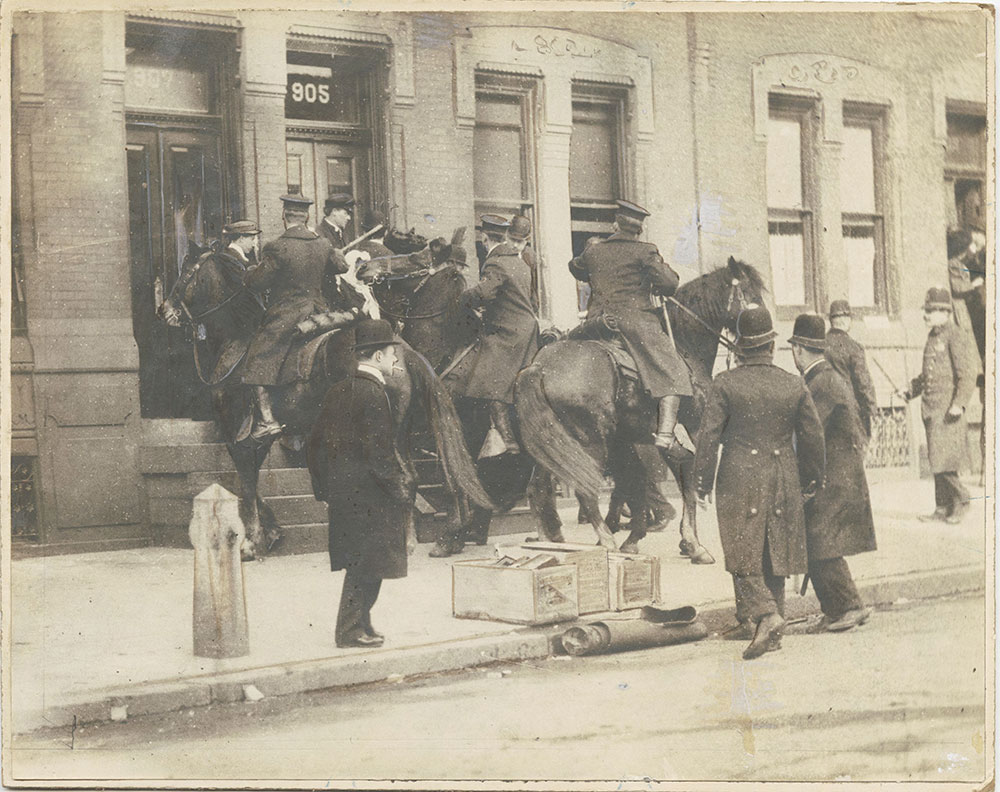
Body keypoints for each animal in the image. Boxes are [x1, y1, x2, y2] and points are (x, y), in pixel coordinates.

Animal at [159, 252, 492, 556]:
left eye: (186, 272)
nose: (165, 310)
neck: (239, 340)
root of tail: (402, 349)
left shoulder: (234, 434)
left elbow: (248, 485)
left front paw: (251, 543)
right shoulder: (257, 439)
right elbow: (255, 481)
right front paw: (271, 532)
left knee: (402, 479)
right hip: (400, 432)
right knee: (411, 479)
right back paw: (412, 539)